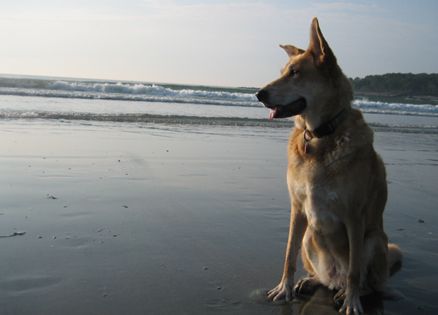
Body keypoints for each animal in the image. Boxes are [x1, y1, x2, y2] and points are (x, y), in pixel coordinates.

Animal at [256, 17, 404, 315]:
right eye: (283, 72)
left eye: (295, 73)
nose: (258, 93)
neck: (320, 135)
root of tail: (333, 280)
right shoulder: (297, 209)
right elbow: (288, 255)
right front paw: (284, 288)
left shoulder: (354, 217)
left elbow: (355, 270)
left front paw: (352, 302)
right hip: (308, 236)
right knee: (323, 276)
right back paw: (311, 281)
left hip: (373, 240)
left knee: (365, 282)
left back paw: (348, 293)